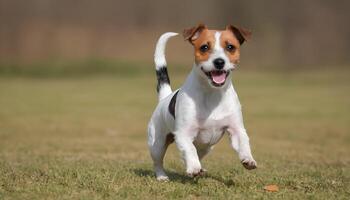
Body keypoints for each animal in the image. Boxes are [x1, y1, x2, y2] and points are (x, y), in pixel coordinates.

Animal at [148, 23, 258, 181]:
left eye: (230, 47)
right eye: (204, 47)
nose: (219, 62)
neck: (212, 94)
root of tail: (165, 97)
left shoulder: (236, 129)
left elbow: (243, 143)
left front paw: (248, 159)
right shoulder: (184, 133)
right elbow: (190, 149)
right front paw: (194, 167)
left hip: (207, 147)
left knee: (196, 153)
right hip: (157, 143)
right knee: (159, 160)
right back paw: (163, 176)